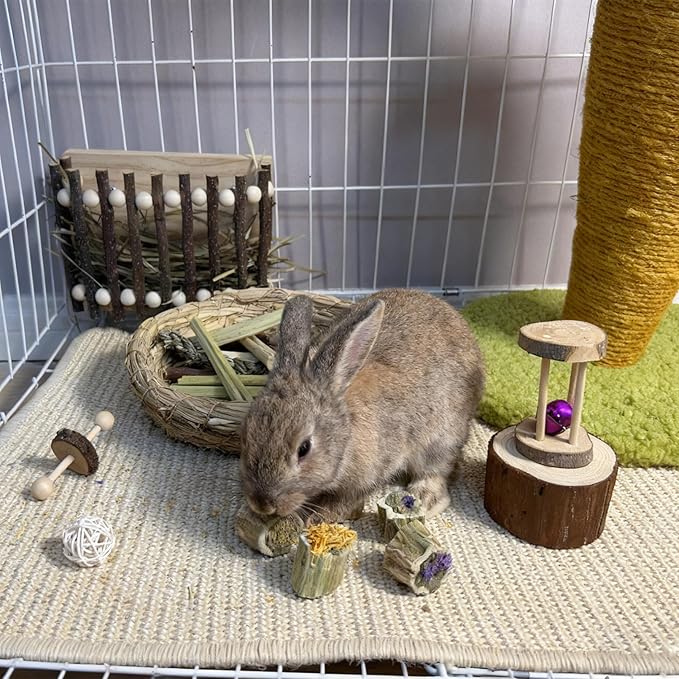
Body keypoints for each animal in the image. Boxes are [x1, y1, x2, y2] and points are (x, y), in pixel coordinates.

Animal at [239, 288, 485, 523]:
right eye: (246, 436)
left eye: (304, 448)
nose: (263, 504)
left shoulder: (370, 474)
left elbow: (349, 498)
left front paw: (322, 515)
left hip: (441, 440)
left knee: (436, 470)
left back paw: (423, 499)